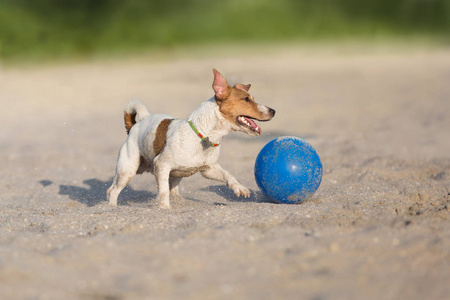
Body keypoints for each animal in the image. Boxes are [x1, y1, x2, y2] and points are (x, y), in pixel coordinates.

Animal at [107, 69, 276, 207]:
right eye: (246, 99)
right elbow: (163, 192)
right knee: (115, 190)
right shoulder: (161, 165)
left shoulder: (208, 169)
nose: (273, 111)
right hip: (128, 169)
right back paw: (112, 207)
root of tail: (135, 126)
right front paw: (165, 209)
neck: (203, 135)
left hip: (174, 175)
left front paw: (239, 188)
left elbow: (227, 174)